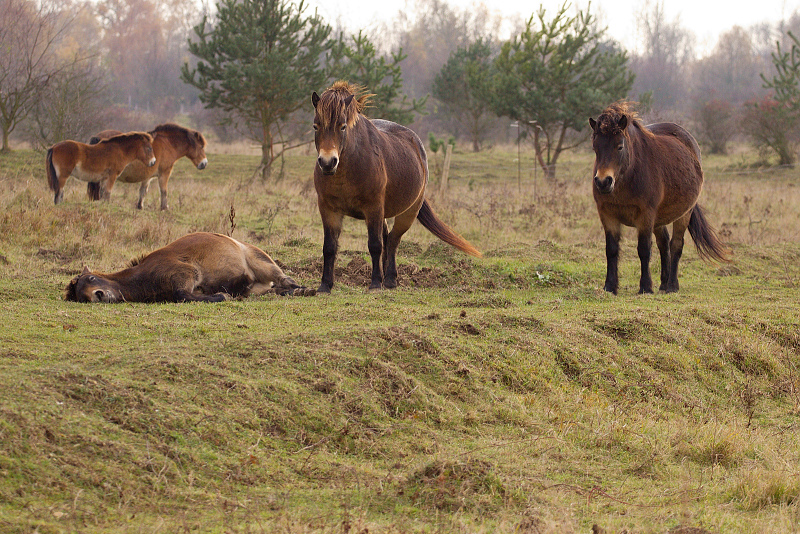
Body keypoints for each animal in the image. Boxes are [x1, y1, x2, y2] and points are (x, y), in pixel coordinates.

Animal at [64, 232, 314, 304]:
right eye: (81, 297)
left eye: (92, 279)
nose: (98, 295)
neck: (144, 278)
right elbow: (186, 295)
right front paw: (222, 294)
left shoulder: (186, 273)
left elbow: (182, 294)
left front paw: (221, 295)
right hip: (258, 288)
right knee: (277, 289)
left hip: (263, 263)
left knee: (286, 281)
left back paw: (307, 290)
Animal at [312, 81, 482, 296]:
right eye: (316, 126)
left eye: (342, 126)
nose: (327, 162)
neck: (348, 168)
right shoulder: (328, 209)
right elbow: (329, 247)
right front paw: (325, 285)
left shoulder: (373, 208)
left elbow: (375, 245)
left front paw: (375, 283)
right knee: (387, 238)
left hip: (408, 212)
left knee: (392, 240)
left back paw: (390, 279)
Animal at [588, 102, 732, 296]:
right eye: (595, 148)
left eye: (619, 146)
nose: (603, 182)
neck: (629, 175)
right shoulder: (607, 215)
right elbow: (611, 250)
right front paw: (610, 287)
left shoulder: (646, 216)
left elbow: (644, 250)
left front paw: (645, 287)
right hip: (659, 219)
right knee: (664, 244)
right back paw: (663, 283)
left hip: (683, 214)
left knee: (676, 245)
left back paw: (672, 285)